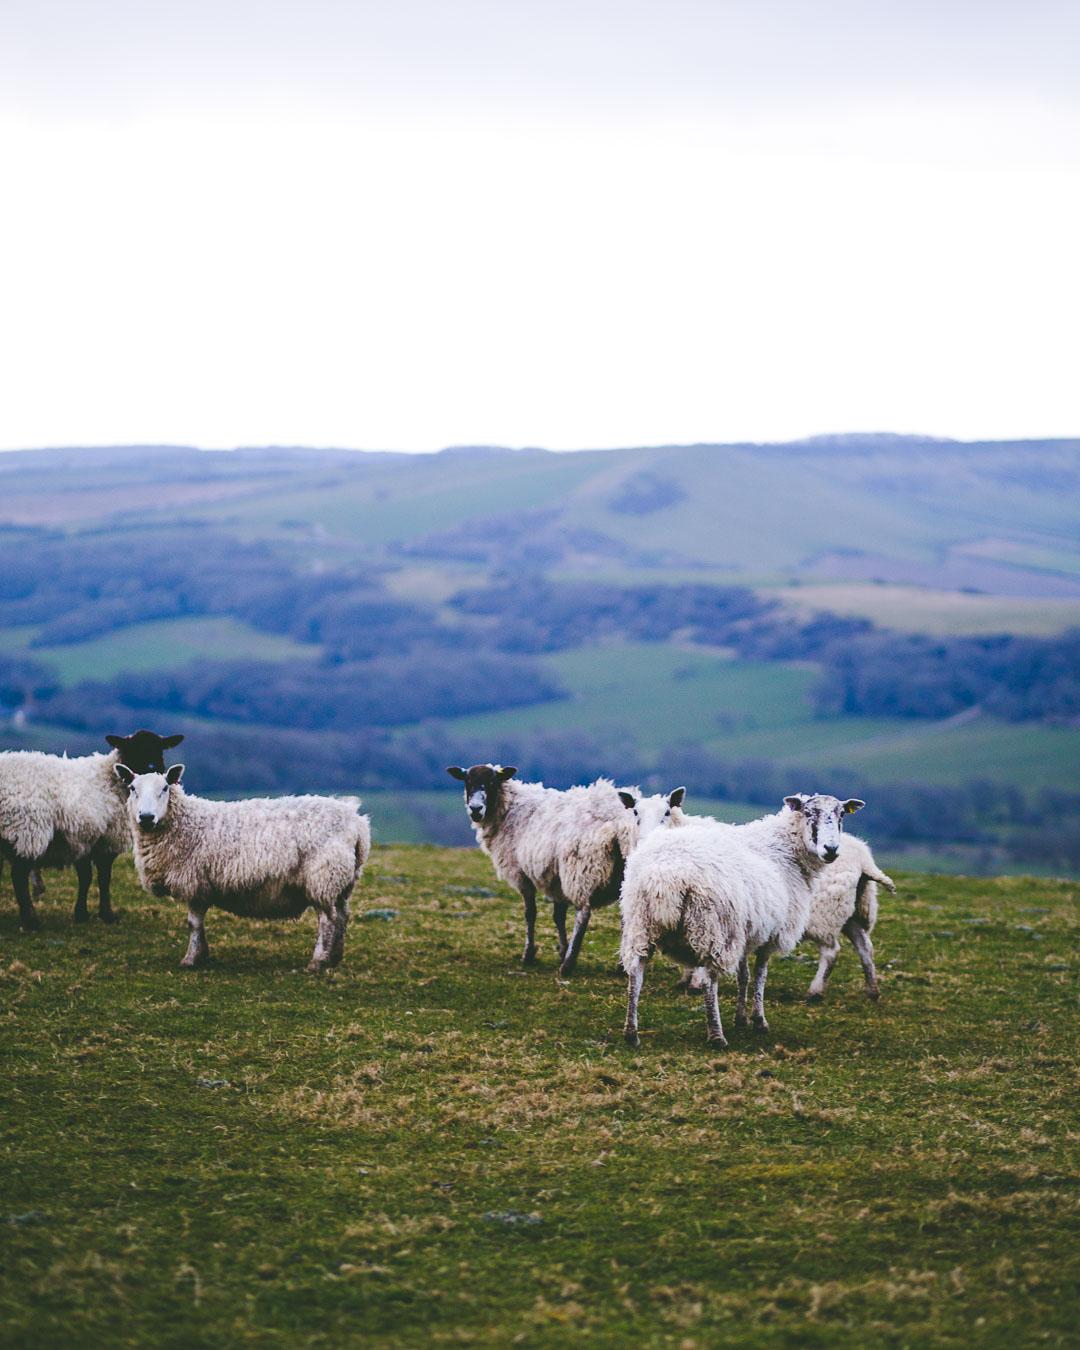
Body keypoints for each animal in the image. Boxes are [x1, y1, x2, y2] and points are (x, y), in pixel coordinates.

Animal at [0, 729, 183, 928]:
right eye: (132, 748)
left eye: (160, 749)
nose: (152, 767)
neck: (111, 779)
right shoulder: (102, 838)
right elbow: (103, 878)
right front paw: (106, 915)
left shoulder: (83, 838)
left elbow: (86, 877)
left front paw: (82, 914)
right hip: (27, 830)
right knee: (18, 876)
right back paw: (31, 922)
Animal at [116, 766, 372, 977]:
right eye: (132, 788)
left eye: (165, 787)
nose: (146, 817)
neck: (185, 823)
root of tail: (356, 822)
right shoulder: (200, 885)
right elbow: (197, 924)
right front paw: (202, 955)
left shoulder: (195, 881)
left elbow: (193, 924)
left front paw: (191, 959)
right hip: (343, 880)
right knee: (342, 916)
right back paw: (334, 958)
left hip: (323, 877)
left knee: (327, 920)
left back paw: (317, 962)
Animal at [448, 766, 675, 977]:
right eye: (467, 782)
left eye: (492, 782)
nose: (475, 809)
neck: (511, 810)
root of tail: (620, 821)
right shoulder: (555, 878)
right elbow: (558, 915)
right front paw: (561, 950)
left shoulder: (522, 875)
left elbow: (530, 913)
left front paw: (529, 955)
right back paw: (619, 966)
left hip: (582, 869)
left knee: (583, 913)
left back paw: (568, 965)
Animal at [621, 793, 864, 1047]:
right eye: (808, 813)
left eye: (842, 814)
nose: (831, 849)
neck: (785, 850)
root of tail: (666, 875)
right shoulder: (771, 934)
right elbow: (759, 975)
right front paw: (759, 1020)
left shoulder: (747, 930)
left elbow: (744, 975)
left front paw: (741, 1018)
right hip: (711, 926)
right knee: (709, 979)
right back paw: (716, 1035)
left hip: (640, 922)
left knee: (635, 972)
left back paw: (631, 1032)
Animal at [799, 820, 896, 1004]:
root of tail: (863, 859)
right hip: (852, 911)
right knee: (865, 947)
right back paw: (872, 991)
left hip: (823, 914)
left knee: (831, 952)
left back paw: (814, 992)